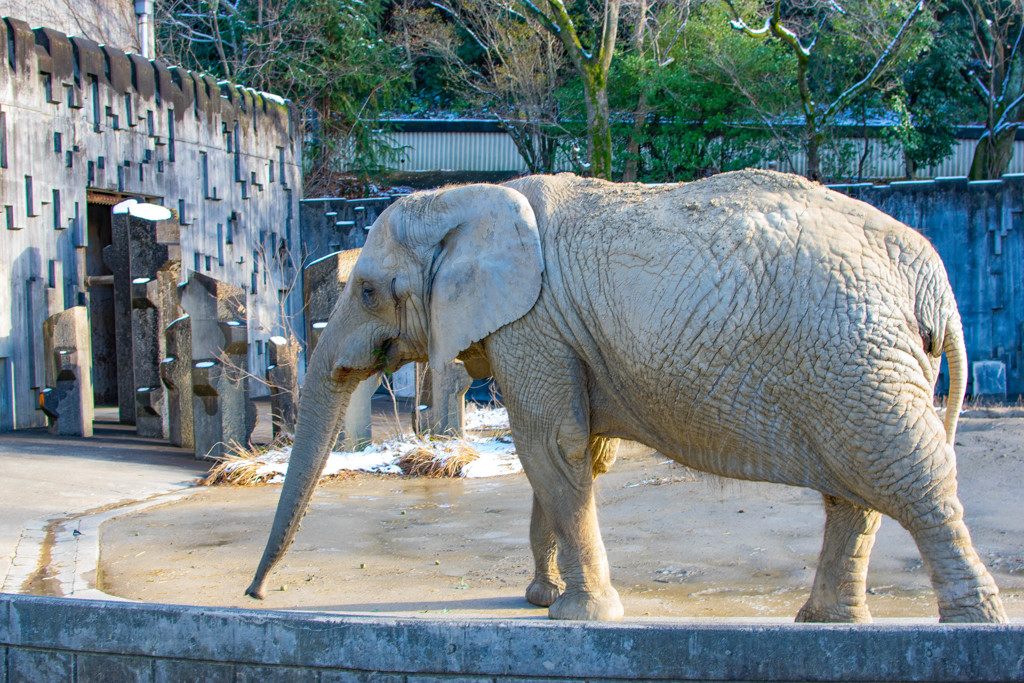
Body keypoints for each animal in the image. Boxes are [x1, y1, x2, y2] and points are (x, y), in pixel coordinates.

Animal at [249, 169, 1007, 626]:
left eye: (366, 289)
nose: (257, 595)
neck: (474, 195)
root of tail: (934, 279)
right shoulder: (553, 333)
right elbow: (570, 451)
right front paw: (541, 599)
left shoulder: (533, 324)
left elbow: (551, 443)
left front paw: (579, 614)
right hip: (856, 367)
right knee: (857, 490)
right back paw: (826, 622)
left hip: (855, 357)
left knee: (906, 475)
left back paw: (972, 624)